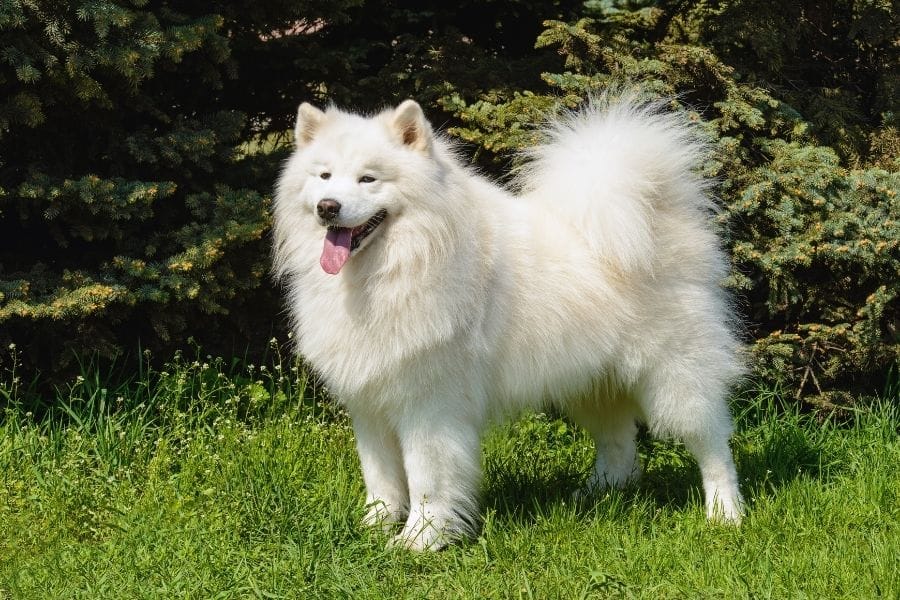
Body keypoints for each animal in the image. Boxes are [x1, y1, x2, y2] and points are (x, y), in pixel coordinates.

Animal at [272, 92, 744, 548]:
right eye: (324, 176)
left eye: (368, 179)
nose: (327, 207)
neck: (398, 266)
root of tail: (659, 214)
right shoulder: (370, 403)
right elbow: (382, 479)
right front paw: (374, 528)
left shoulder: (429, 407)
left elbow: (427, 480)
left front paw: (421, 539)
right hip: (591, 382)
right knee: (619, 445)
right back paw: (597, 494)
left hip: (675, 379)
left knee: (713, 444)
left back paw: (725, 513)